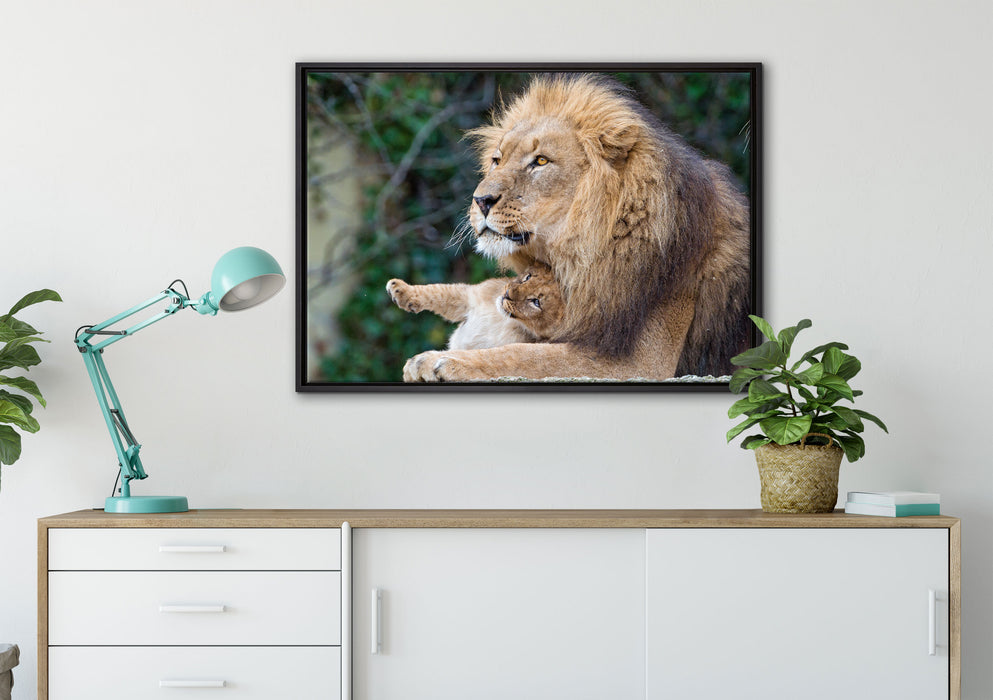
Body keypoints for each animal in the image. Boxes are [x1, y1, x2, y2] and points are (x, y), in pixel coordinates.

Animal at [387, 262, 565, 350]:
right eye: (528, 277)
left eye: (536, 302)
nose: (507, 293)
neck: (504, 319)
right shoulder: (468, 298)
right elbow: (436, 292)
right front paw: (399, 289)